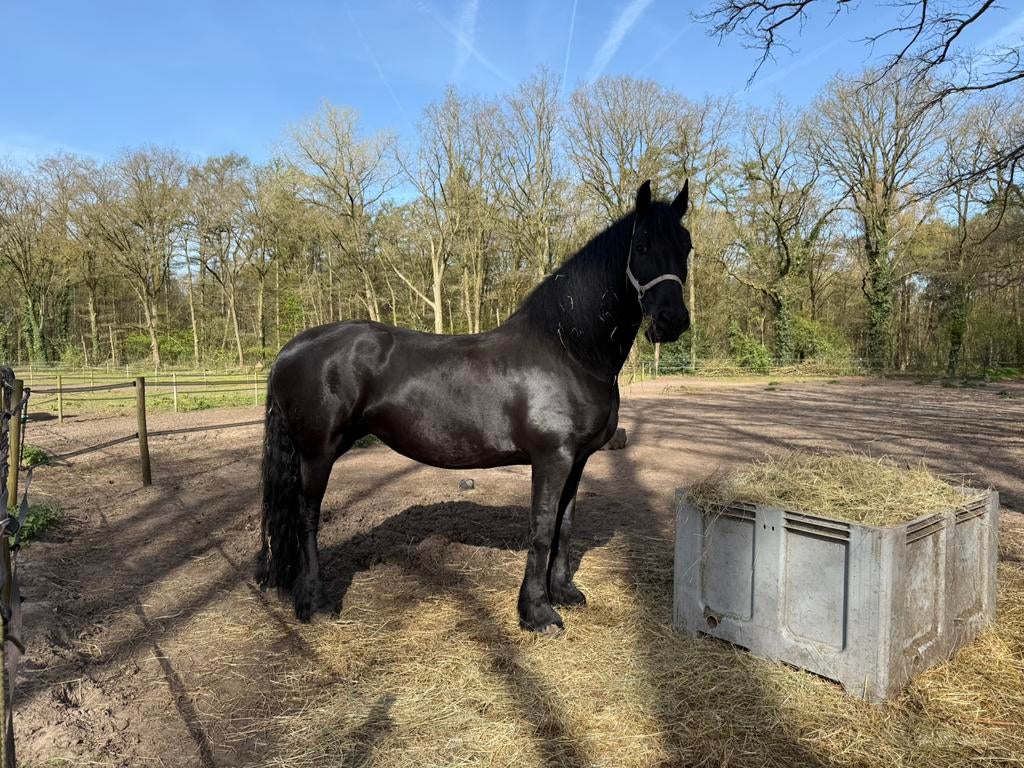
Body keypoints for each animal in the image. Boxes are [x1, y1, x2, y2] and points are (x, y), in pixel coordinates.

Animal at [257, 179, 692, 634]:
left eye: (687, 246)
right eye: (642, 245)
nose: (672, 320)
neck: (568, 352)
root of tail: (292, 348)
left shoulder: (579, 460)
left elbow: (565, 526)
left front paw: (564, 594)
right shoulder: (551, 458)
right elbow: (541, 529)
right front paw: (537, 613)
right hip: (317, 454)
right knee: (307, 519)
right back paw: (315, 602)